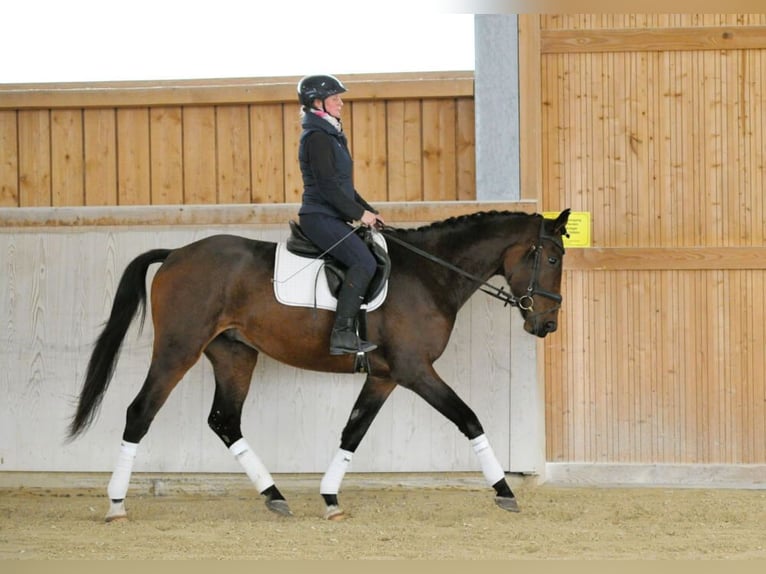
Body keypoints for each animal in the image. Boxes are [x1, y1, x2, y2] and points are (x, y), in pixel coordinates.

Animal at [68, 208, 571, 522]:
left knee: (225, 421)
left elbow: (352, 432)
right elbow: (469, 418)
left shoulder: (385, 376)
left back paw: (275, 496)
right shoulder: (415, 371)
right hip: (179, 349)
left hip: (234, 354)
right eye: (550, 257)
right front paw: (504, 490)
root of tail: (174, 254)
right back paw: (116, 504)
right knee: (140, 413)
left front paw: (330, 498)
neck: (429, 275)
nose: (546, 324)